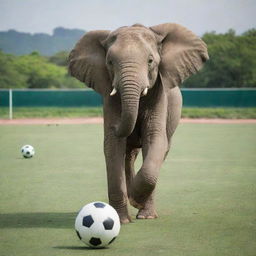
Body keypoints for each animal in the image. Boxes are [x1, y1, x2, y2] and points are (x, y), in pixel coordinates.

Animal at [68, 23, 208, 224]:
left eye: (150, 61)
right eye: (110, 62)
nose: (115, 126)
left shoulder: (160, 95)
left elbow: (155, 139)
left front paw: (135, 199)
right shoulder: (109, 98)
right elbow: (112, 145)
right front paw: (122, 220)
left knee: (159, 151)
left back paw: (146, 214)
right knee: (128, 155)